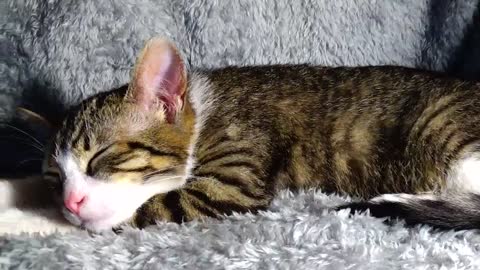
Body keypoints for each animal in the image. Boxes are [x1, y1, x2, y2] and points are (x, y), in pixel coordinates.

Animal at [38, 37, 480, 232]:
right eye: (54, 177)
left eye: (101, 157)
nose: (71, 201)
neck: (204, 113)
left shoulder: (233, 173)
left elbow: (147, 209)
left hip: (445, 130)